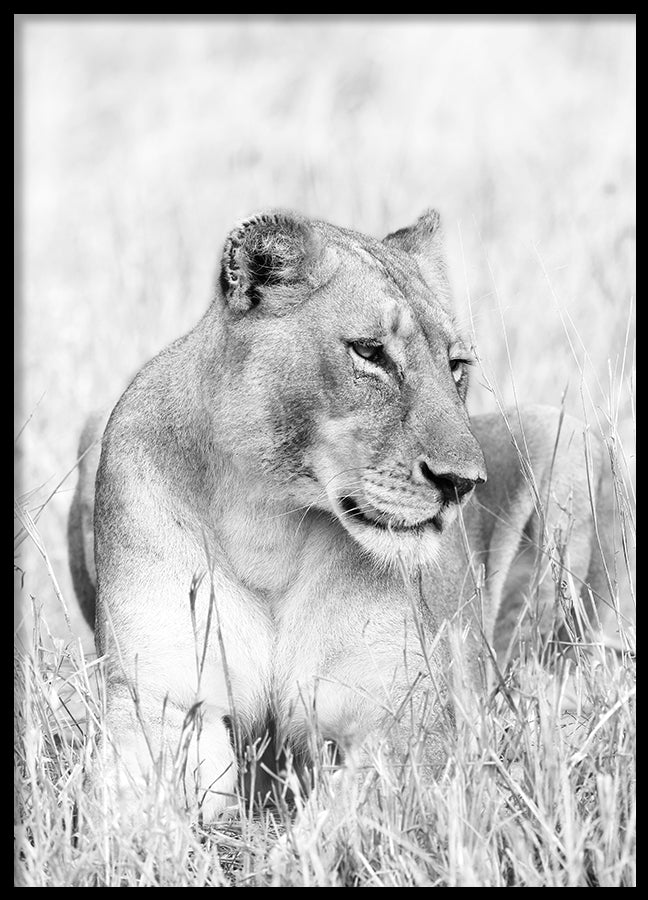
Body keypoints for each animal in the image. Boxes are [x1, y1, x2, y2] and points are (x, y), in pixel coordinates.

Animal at [68, 209, 616, 824]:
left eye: (456, 365)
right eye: (370, 353)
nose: (461, 483)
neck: (268, 523)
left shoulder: (402, 725)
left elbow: (334, 821)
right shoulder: (163, 705)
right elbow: (130, 812)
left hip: (561, 440)